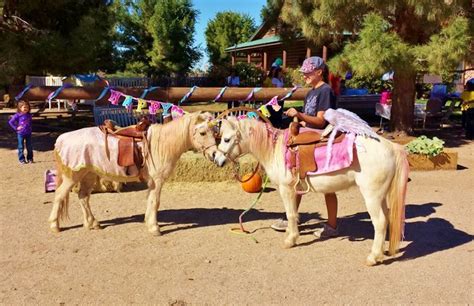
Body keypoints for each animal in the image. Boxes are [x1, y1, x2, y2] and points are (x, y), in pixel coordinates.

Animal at [49, 111, 218, 235]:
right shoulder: (157, 180)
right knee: (60, 195)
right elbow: (155, 201)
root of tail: (61, 139)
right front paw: (154, 228)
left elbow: (151, 201)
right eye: (202, 133)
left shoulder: (152, 182)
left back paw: (92, 223)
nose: (215, 154)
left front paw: (148, 222)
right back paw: (54, 225)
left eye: (214, 131)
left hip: (88, 175)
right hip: (72, 177)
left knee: (83, 197)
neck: (161, 143)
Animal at [213, 117, 410, 266]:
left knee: (380, 223)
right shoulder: (295, 189)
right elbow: (294, 213)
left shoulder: (286, 189)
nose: (216, 159)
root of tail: (392, 147)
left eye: (226, 139)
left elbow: (291, 214)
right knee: (387, 218)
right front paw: (290, 233)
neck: (276, 150)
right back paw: (382, 252)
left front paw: (290, 240)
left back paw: (373, 257)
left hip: (371, 197)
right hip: (380, 197)